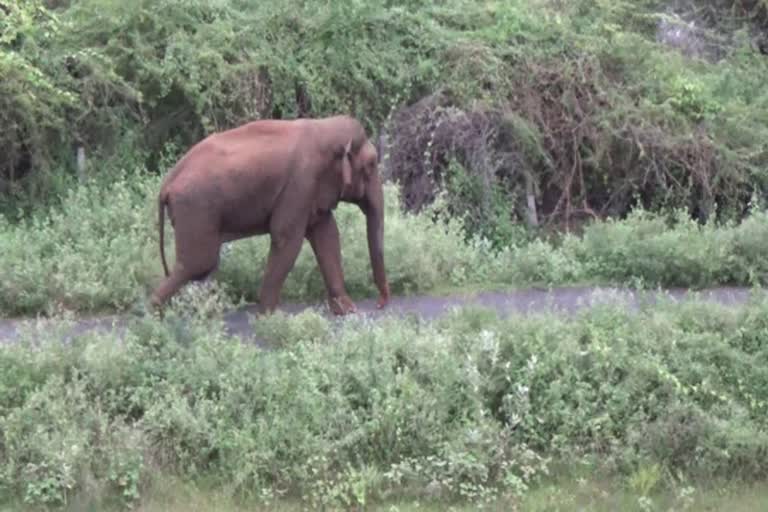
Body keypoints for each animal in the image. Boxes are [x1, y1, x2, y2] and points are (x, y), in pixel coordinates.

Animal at [150, 115, 390, 316]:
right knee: (199, 264)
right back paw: (154, 317)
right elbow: (286, 238)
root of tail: (167, 183)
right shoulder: (301, 183)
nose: (380, 305)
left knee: (198, 266)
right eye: (370, 165)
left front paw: (347, 311)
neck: (325, 127)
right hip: (196, 208)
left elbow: (327, 235)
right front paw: (269, 318)